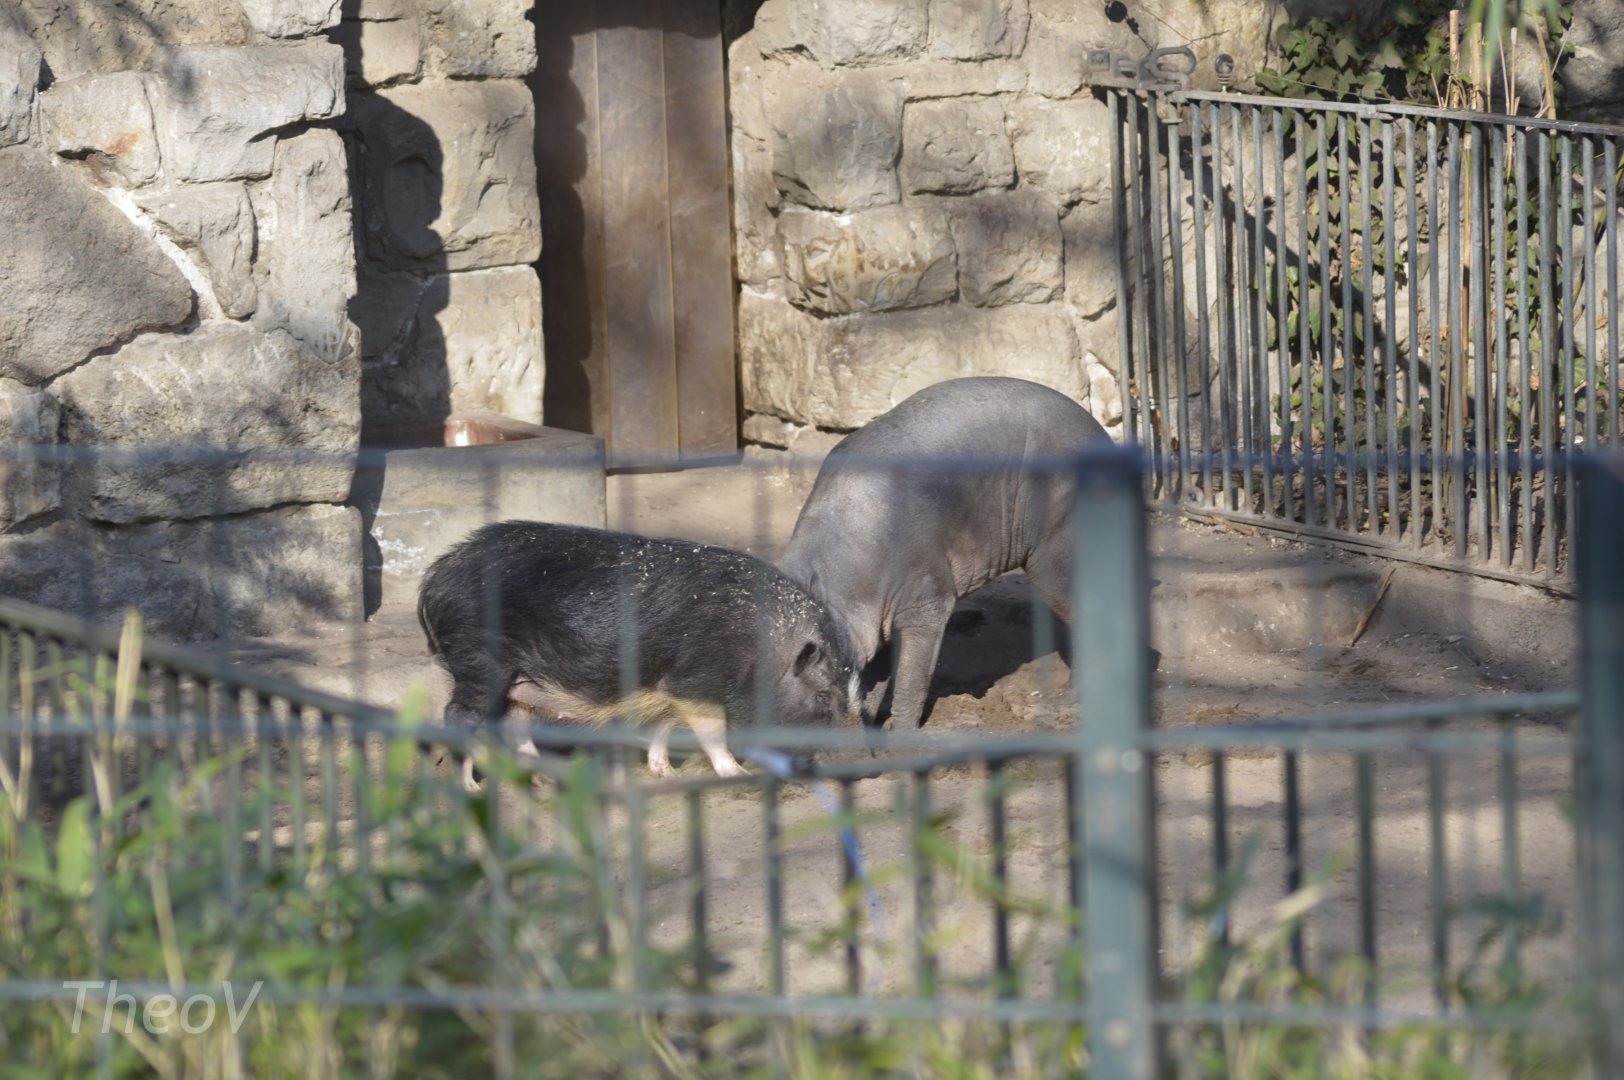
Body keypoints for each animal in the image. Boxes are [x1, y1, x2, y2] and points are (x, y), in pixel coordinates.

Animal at [418, 520, 859, 788]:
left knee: (516, 724)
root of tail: (435, 577)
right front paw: (733, 773)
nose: (860, 763)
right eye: (823, 695)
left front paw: (665, 775)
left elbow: (664, 726)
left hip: (521, 680)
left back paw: (543, 780)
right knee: (458, 717)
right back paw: (472, 787)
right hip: (478, 661)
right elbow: (710, 730)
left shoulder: (668, 685)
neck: (761, 649)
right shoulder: (694, 680)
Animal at [779, 377, 1109, 730]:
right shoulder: (873, 620)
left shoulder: (927, 602)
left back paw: (1070, 703)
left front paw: (902, 734)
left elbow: (911, 676)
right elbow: (875, 675)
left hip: (1055, 554)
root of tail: (1101, 434)